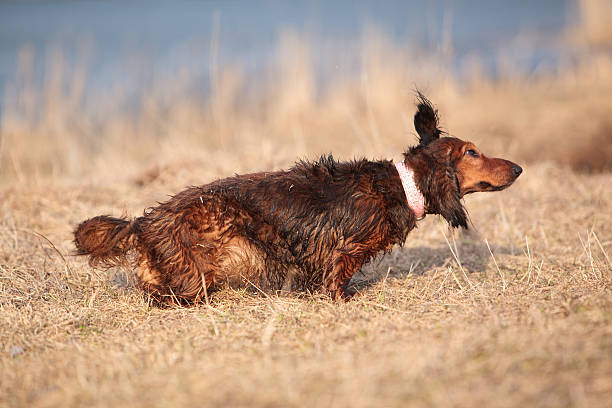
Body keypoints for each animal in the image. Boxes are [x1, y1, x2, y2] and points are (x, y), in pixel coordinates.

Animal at [73, 93, 520, 302]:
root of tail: (144, 223)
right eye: (472, 152)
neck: (401, 183)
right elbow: (336, 277)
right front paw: (345, 298)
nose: (518, 168)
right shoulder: (340, 250)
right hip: (207, 255)